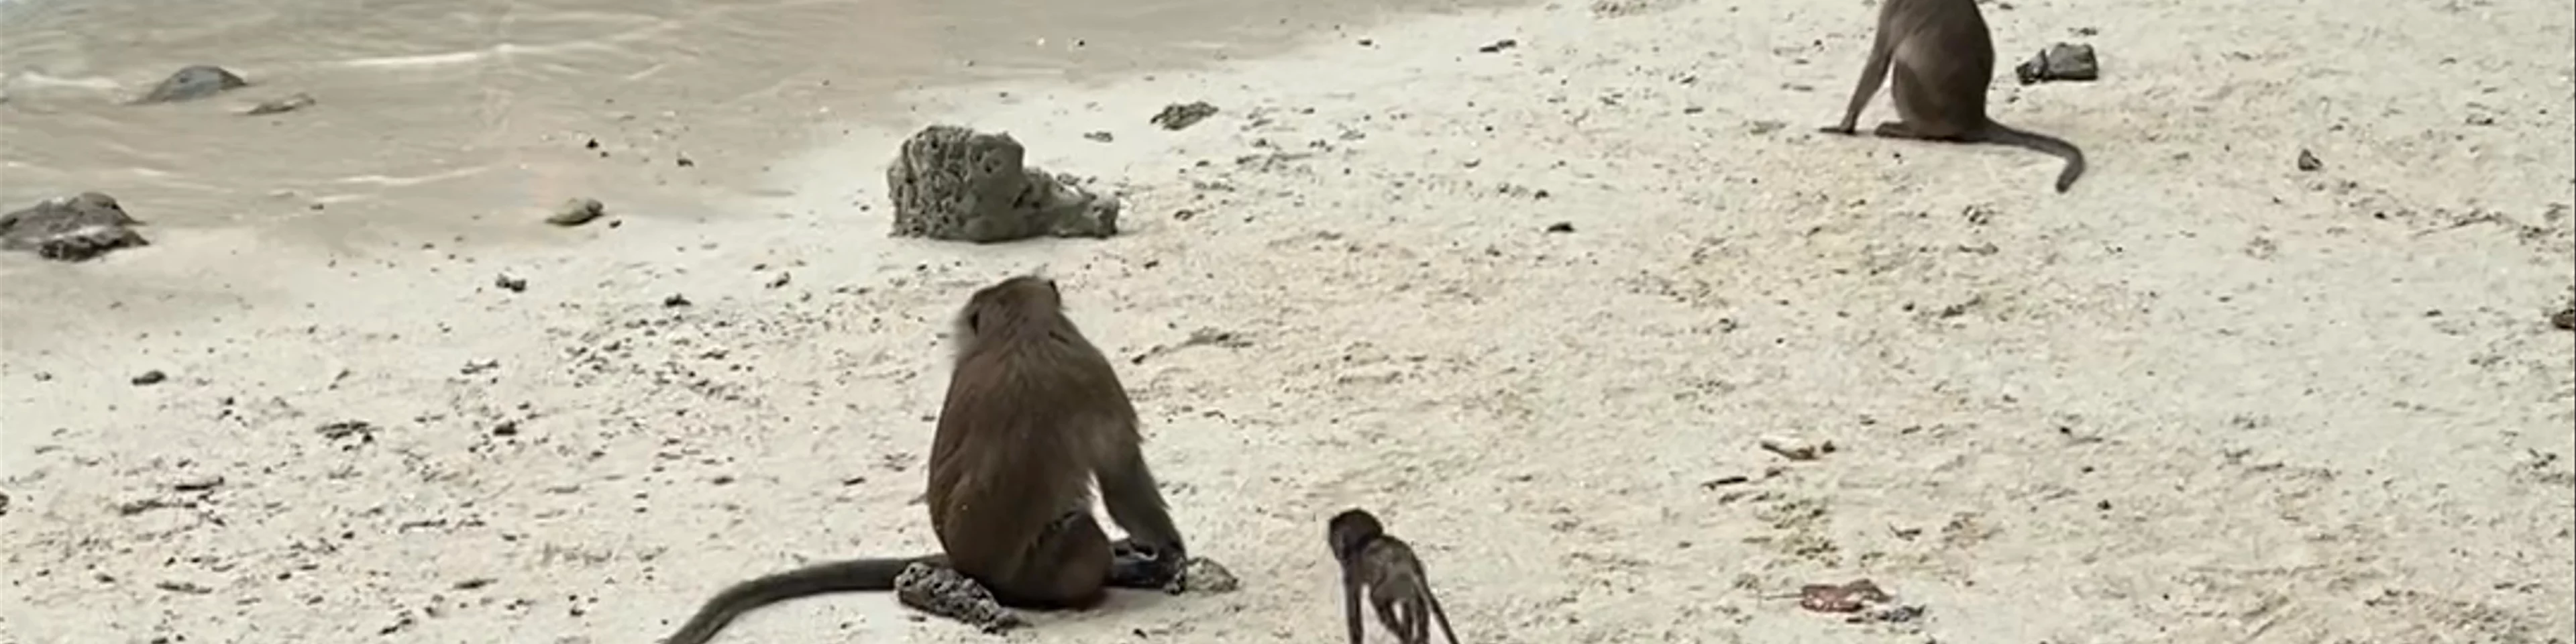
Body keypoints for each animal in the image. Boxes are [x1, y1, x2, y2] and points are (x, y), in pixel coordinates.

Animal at [660, 275, 1189, 644]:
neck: (1021, 331)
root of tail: (963, 563)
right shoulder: (1095, 371)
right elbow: (1122, 479)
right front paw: (1171, 554)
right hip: (1039, 574)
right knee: (1081, 529)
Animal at [1326, 508, 1461, 644]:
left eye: (1334, 538)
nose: (1338, 552)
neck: (1365, 539)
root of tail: (1407, 562)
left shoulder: (1351, 572)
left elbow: (1354, 615)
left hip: (1390, 584)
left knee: (1380, 598)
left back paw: (1406, 634)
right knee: (1415, 604)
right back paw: (1417, 634)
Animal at [1818, 0, 2088, 193]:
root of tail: (1975, 117)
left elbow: (1879, 59)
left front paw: (1844, 126)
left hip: (1928, 109)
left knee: (1902, 66)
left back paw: (1908, 130)